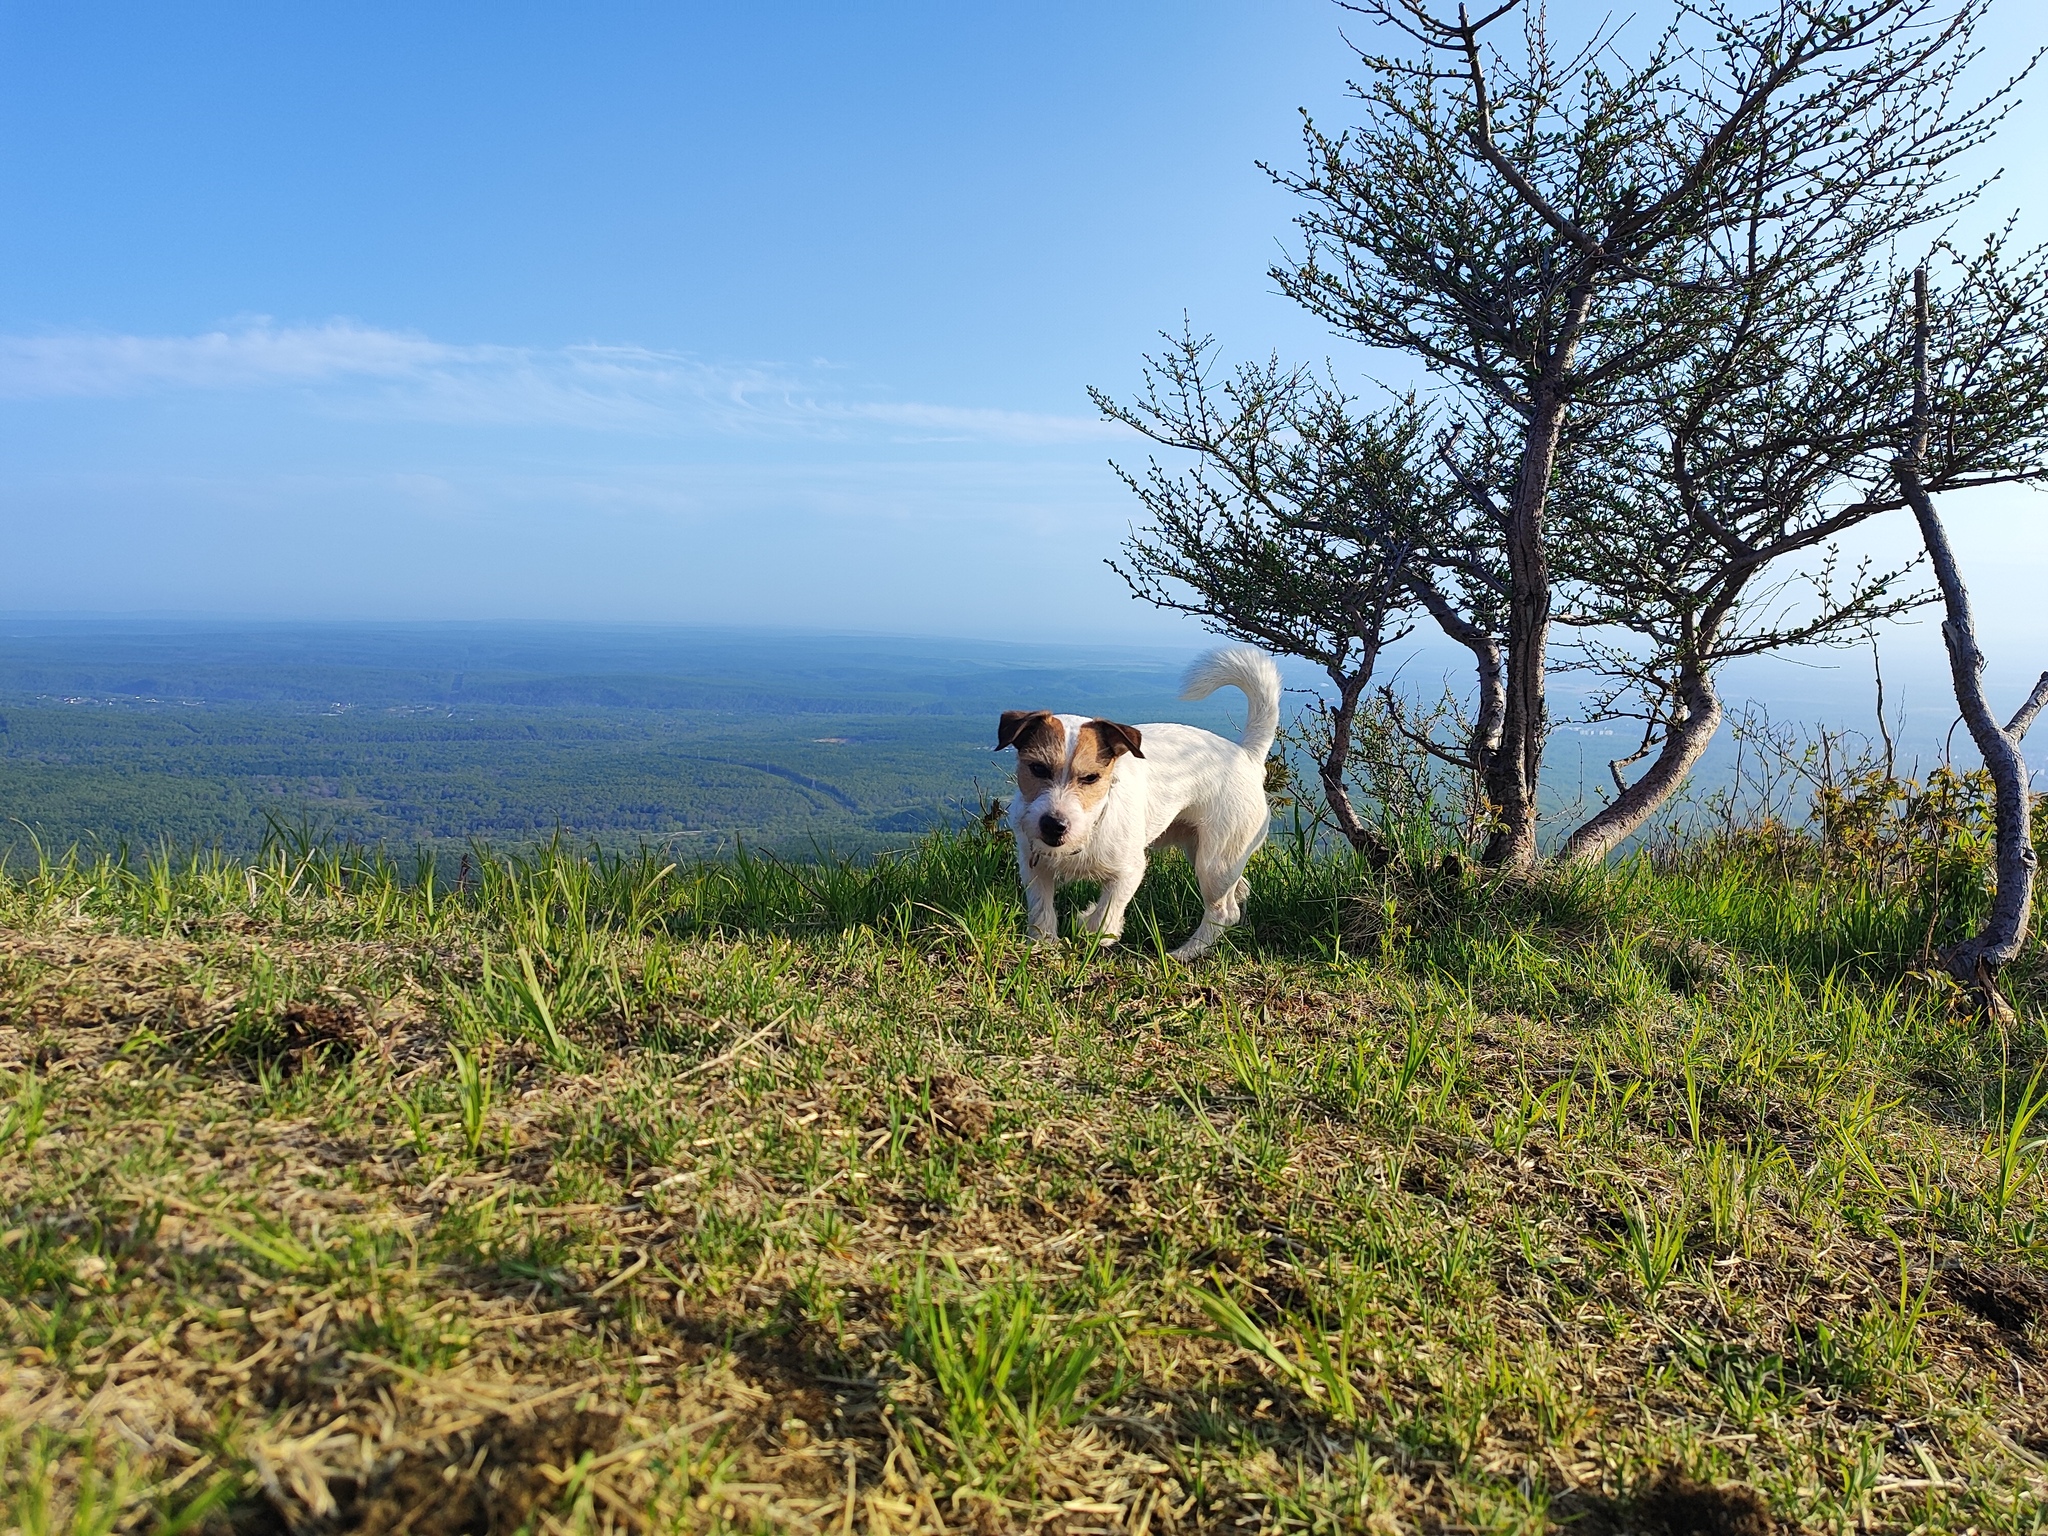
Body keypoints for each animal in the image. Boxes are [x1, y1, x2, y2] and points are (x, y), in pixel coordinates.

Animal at [997, 646, 1281, 960]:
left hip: (1215, 863)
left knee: (1223, 912)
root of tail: (1247, 755)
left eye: (1091, 777)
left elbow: (1106, 912)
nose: (1054, 825)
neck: (1091, 826)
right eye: (1037, 769)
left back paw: (1185, 953)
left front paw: (1095, 931)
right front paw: (1044, 942)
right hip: (1206, 851)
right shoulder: (1034, 867)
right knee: (1239, 891)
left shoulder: (1128, 872)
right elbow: (1041, 909)